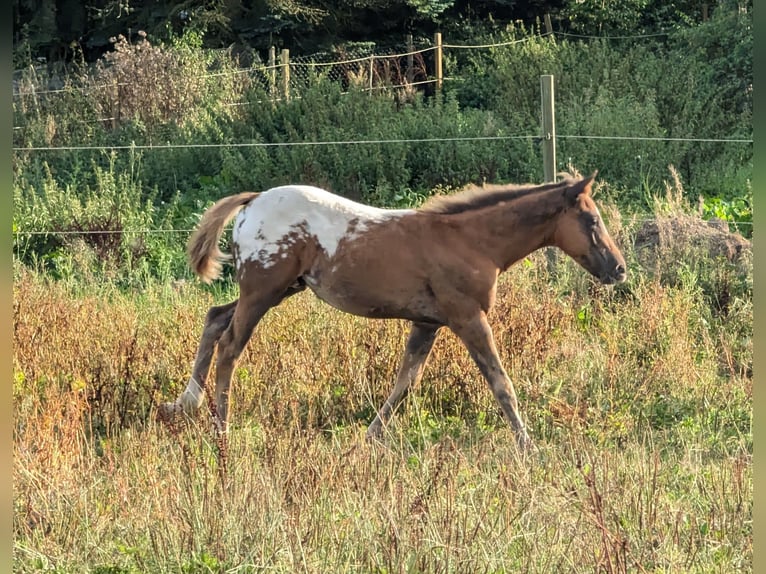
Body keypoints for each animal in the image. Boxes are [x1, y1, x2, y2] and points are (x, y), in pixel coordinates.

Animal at [159, 173, 628, 452]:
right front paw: (529, 447)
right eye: (591, 220)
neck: (471, 241)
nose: (619, 268)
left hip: (276, 290)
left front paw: (369, 437)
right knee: (230, 345)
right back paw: (222, 431)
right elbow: (501, 383)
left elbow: (406, 380)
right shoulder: (468, 318)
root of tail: (253, 201)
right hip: (263, 291)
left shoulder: (427, 322)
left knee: (215, 317)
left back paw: (185, 403)